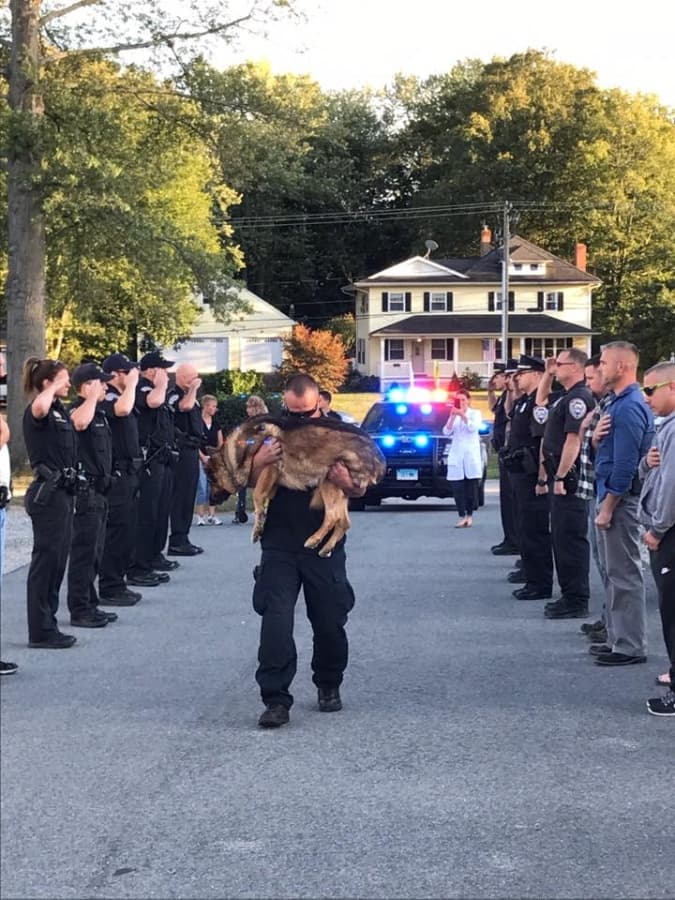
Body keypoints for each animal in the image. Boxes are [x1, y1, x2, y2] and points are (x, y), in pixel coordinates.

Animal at [206, 414, 386, 556]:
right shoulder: (271, 480)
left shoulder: (270, 467)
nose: (210, 501)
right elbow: (262, 496)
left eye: (211, 480)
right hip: (340, 488)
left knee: (333, 517)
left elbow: (257, 496)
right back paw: (326, 548)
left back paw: (314, 539)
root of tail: (380, 459)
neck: (243, 447)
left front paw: (257, 528)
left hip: (329, 478)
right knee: (344, 522)